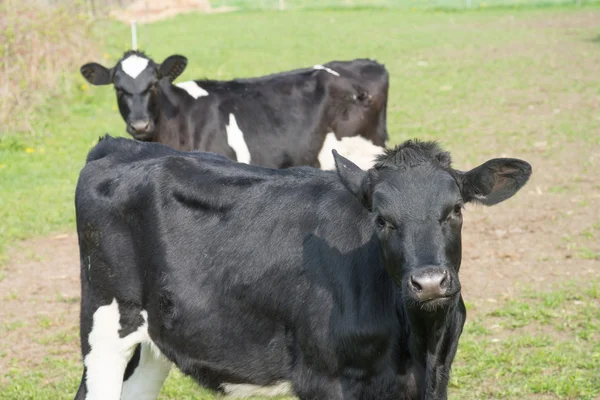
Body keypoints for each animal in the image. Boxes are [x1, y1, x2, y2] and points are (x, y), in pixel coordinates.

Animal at [74, 136, 528, 398]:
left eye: (455, 210)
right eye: (381, 220)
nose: (429, 282)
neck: (418, 343)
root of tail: (118, 144)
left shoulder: (438, 373)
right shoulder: (322, 379)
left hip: (157, 337)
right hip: (106, 324)